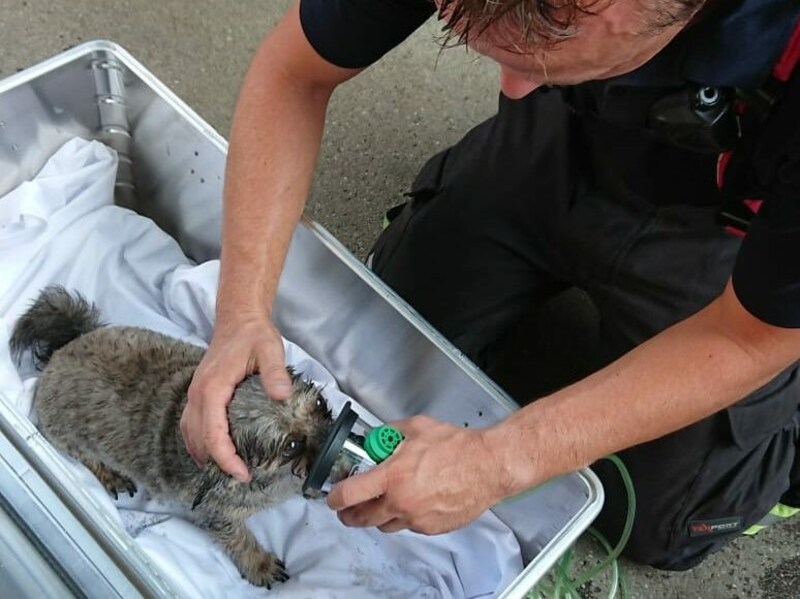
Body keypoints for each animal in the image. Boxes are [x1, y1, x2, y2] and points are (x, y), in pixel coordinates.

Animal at [10, 286, 328, 592]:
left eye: (320, 404)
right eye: (291, 446)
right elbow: (238, 537)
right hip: (67, 436)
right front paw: (259, 564)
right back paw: (111, 475)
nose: (328, 439)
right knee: (87, 457)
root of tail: (63, 348)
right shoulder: (216, 513)